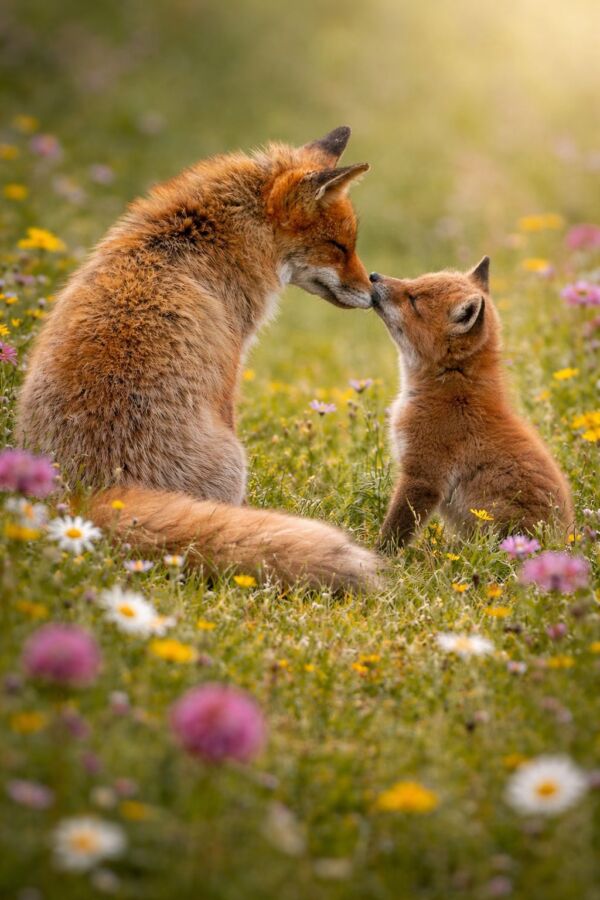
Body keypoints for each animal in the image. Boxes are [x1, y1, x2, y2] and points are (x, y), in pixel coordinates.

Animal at [16, 126, 380, 591]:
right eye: (338, 246)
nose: (374, 294)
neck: (206, 237)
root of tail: (85, 498)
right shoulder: (228, 373)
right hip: (232, 458)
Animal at [369, 257, 574, 548]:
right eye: (413, 281)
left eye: (413, 300)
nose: (373, 276)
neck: (452, 388)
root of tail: (564, 542)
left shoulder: (423, 477)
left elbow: (392, 535)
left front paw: (375, 556)